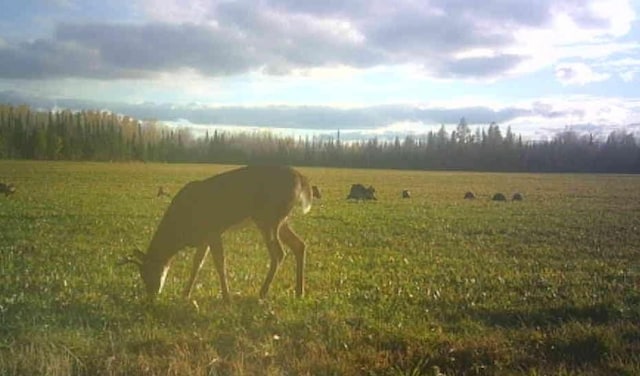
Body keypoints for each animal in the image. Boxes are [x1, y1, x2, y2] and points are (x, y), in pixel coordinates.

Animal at [119, 166, 312, 302]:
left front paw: (227, 297)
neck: (181, 229)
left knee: (279, 253)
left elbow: (219, 263)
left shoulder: (213, 230)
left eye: (147, 273)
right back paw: (299, 292)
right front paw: (185, 294)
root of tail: (302, 180)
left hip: (268, 218)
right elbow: (197, 263)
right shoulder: (203, 237)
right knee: (299, 245)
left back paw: (263, 292)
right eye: (142, 275)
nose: (151, 296)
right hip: (280, 220)